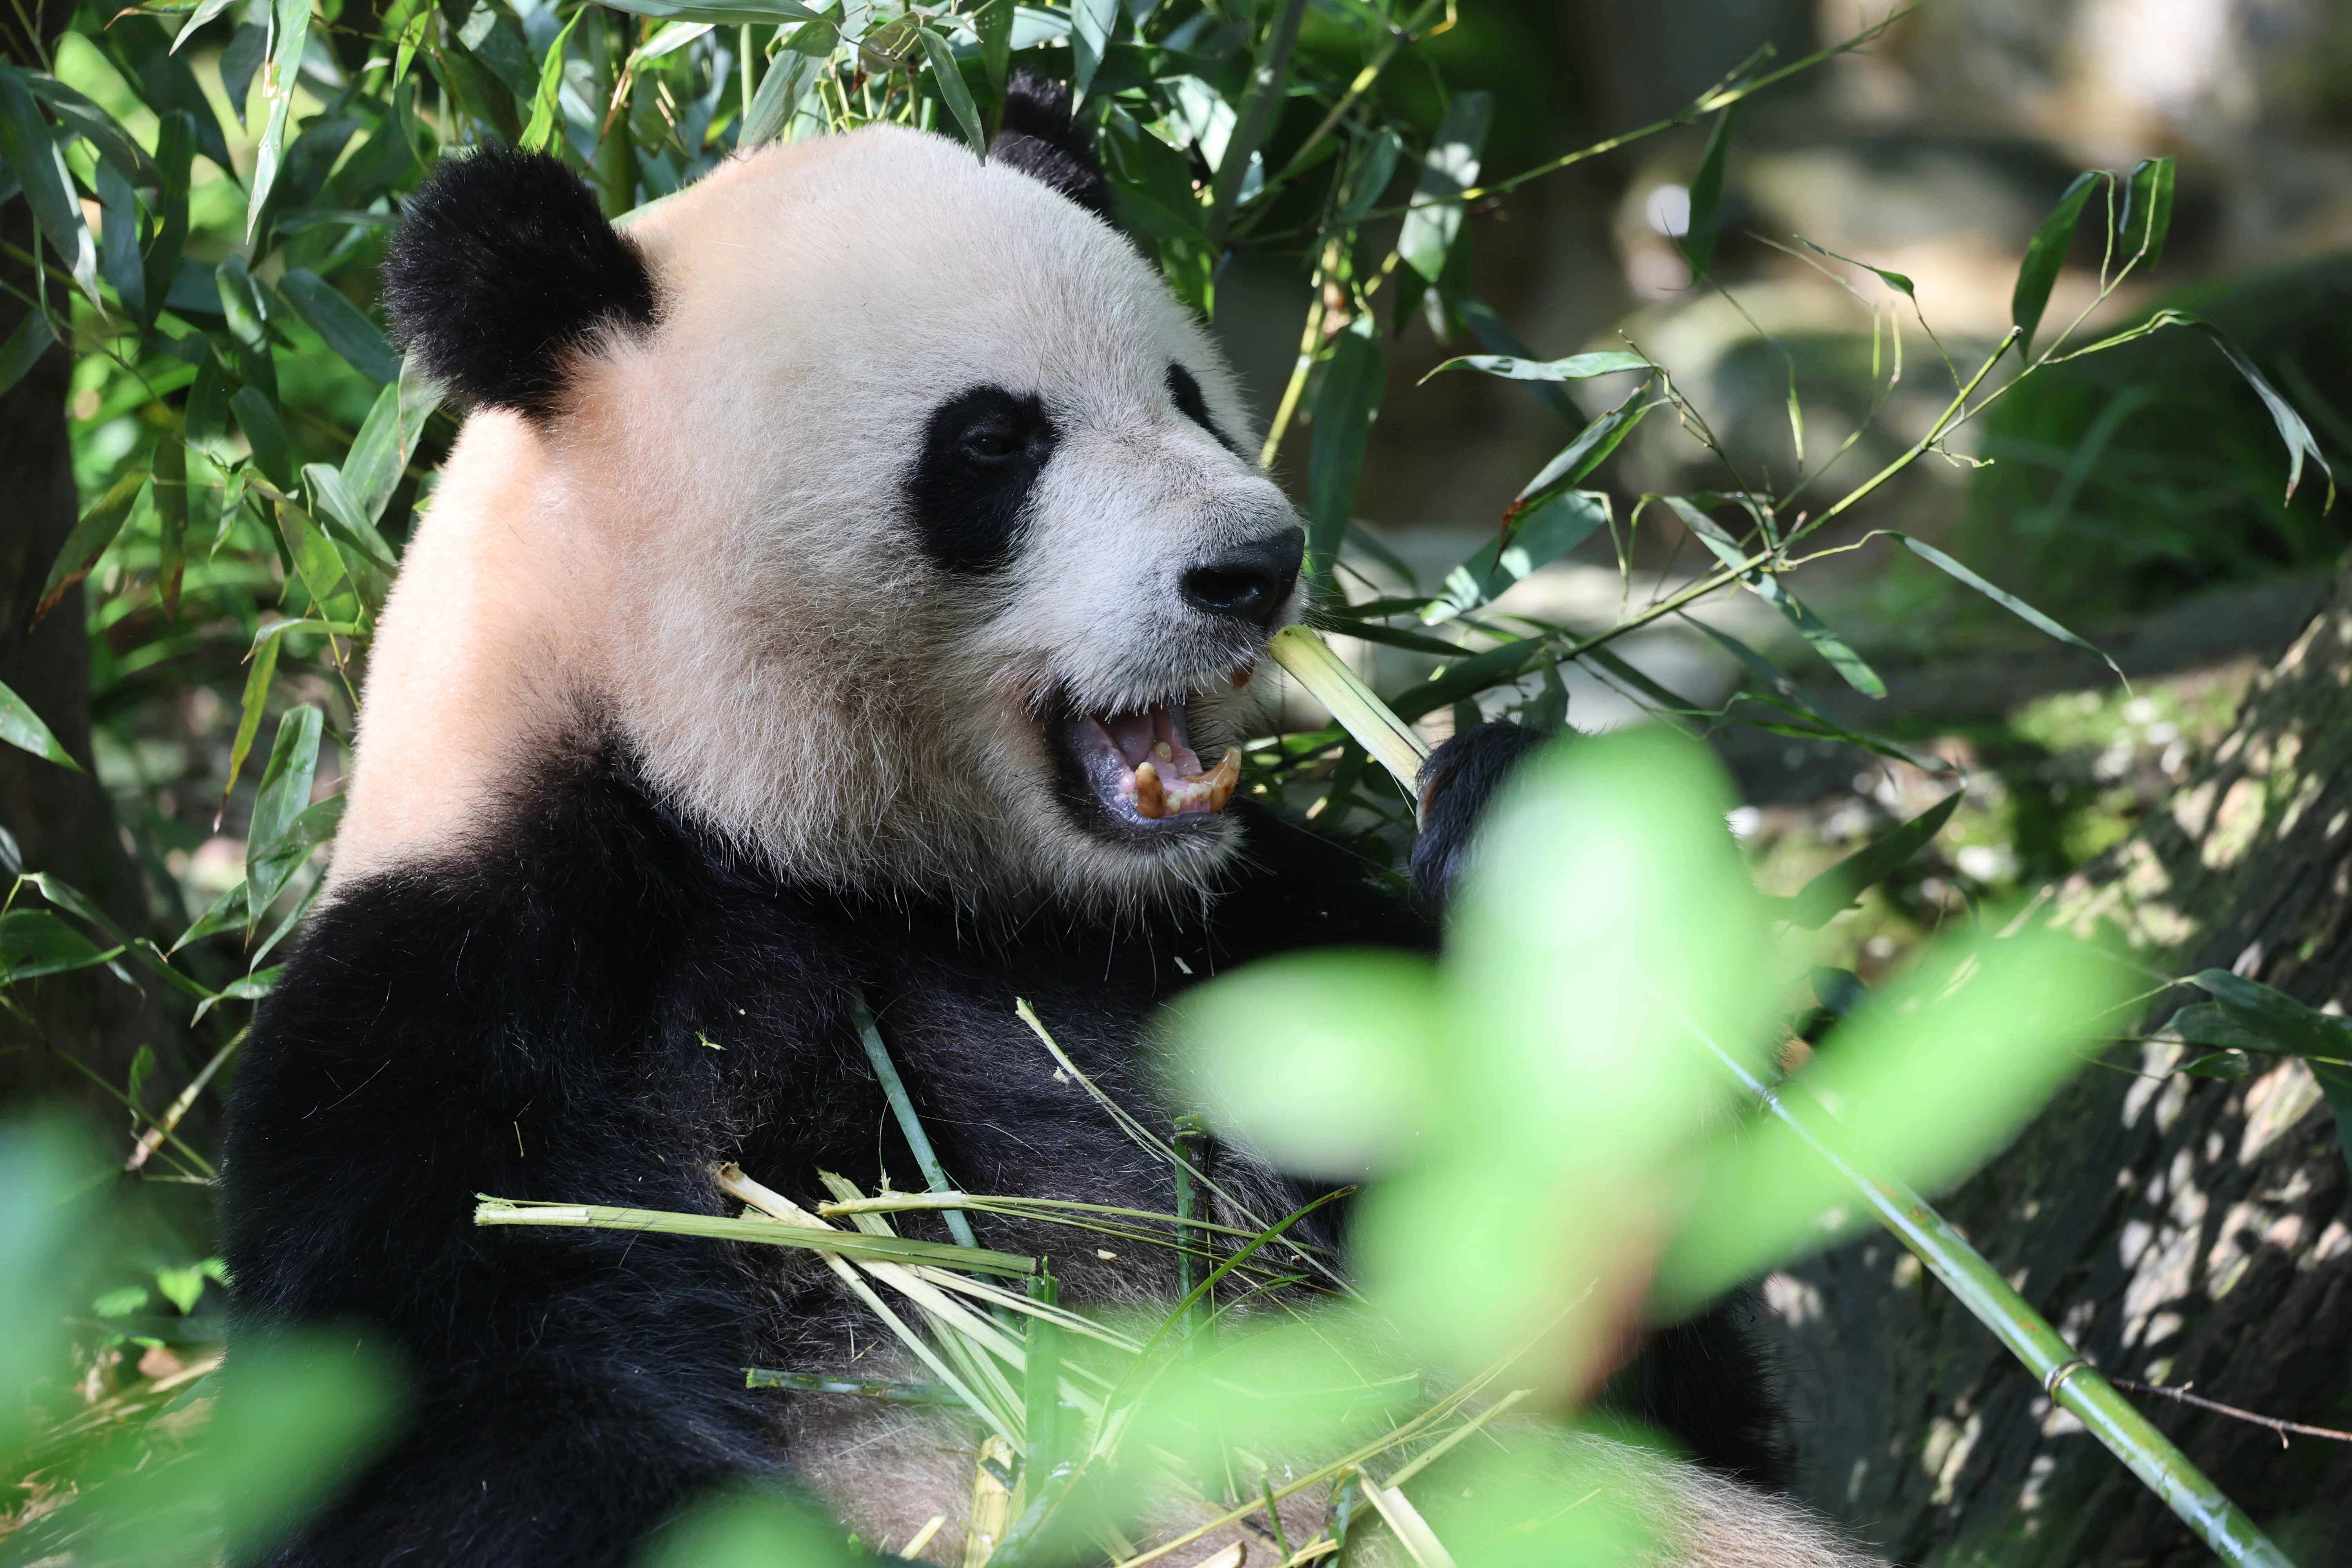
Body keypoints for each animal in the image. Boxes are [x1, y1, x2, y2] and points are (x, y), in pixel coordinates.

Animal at [218, 74, 1874, 1568]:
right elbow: (458, 1443)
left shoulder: (1245, 938)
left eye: (1188, 395)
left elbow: (1624, 1371)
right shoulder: (476, 1003)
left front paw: (1548, 855)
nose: (1254, 567)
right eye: (992, 442)